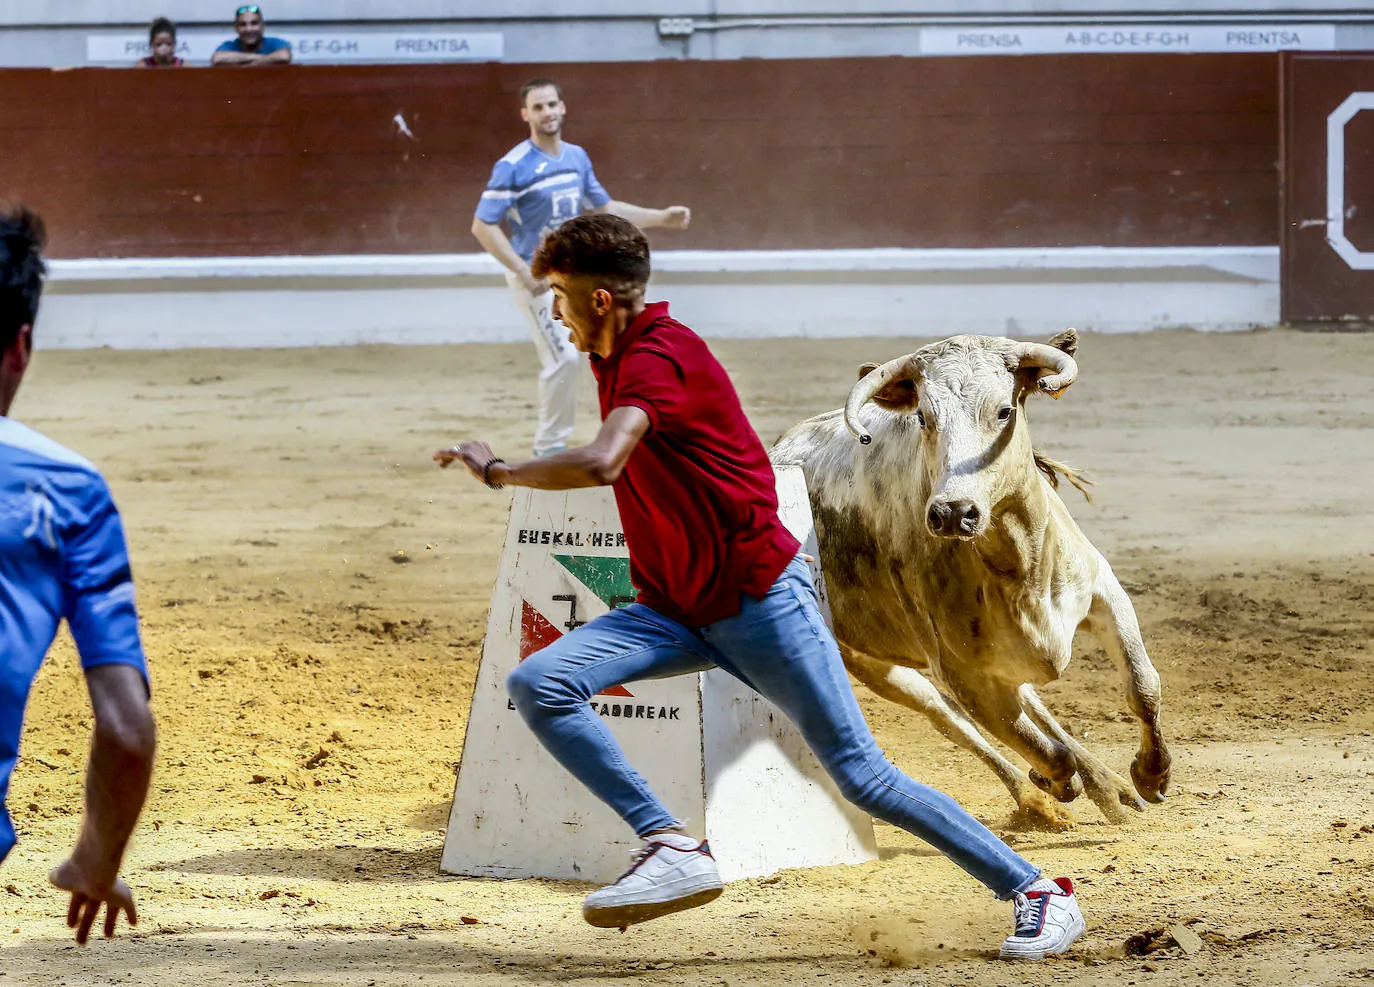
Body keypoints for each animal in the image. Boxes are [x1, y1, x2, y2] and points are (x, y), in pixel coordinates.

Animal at [774, 332, 1170, 824]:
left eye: (1004, 411)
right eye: (923, 416)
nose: (953, 512)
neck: (1020, 566)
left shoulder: (1104, 593)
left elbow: (1143, 686)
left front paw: (1152, 774)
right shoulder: (962, 673)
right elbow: (1047, 752)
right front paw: (1053, 782)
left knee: (1029, 705)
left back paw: (1111, 788)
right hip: (867, 661)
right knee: (947, 717)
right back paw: (1036, 797)